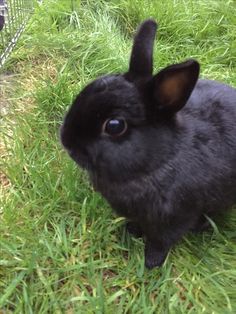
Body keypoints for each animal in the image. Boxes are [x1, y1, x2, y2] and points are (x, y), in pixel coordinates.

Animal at [60, 19, 236, 268]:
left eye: (114, 125)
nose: (66, 141)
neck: (158, 162)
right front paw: (130, 233)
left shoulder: (175, 220)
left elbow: (160, 243)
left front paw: (150, 264)